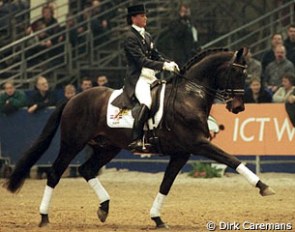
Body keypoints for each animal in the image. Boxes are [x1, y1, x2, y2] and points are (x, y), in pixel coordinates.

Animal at [2, 47, 276, 228]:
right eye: (236, 73)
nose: (238, 107)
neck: (189, 95)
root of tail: (73, 98)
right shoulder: (198, 144)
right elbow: (232, 160)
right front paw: (264, 187)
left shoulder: (182, 152)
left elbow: (166, 184)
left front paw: (157, 218)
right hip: (72, 144)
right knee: (55, 173)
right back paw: (44, 217)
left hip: (107, 147)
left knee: (87, 169)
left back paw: (104, 208)